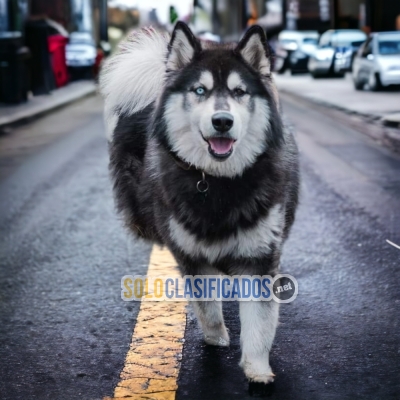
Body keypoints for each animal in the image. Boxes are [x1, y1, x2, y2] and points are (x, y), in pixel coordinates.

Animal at [101, 21, 298, 390]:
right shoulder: (191, 254)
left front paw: (257, 370)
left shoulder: (259, 257)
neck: (217, 181)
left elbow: (259, 322)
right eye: (200, 90)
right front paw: (217, 338)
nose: (222, 121)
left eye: (239, 92)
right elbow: (207, 305)